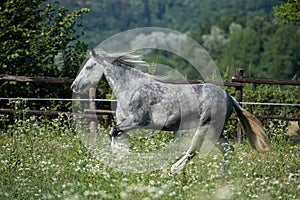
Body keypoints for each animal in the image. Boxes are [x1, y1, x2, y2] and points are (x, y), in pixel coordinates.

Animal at [71, 49, 270, 173]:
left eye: (89, 66)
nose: (74, 86)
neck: (131, 87)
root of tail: (229, 97)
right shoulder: (125, 122)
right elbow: (115, 134)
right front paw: (118, 158)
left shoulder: (138, 121)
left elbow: (114, 131)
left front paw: (119, 157)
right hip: (216, 132)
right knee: (228, 150)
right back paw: (221, 175)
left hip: (206, 127)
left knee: (194, 150)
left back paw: (174, 170)